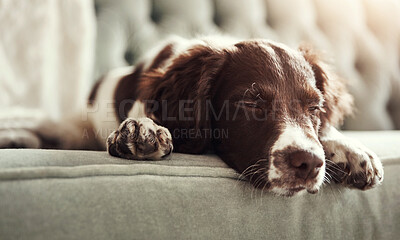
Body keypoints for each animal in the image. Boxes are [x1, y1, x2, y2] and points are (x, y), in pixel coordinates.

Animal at [0, 36, 384, 197]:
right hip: (72, 127)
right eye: (251, 104)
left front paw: (351, 150)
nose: (307, 164)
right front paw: (139, 130)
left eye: (315, 108)